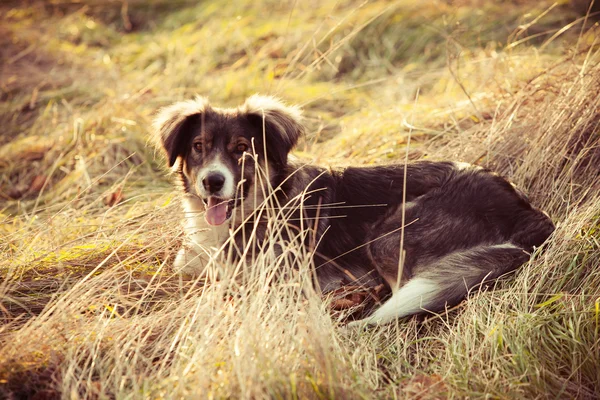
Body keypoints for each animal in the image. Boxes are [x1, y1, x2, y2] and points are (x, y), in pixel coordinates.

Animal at [152, 96, 556, 324]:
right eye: (199, 147)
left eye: (241, 149)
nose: (212, 181)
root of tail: (526, 211)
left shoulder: (288, 279)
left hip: (389, 236)